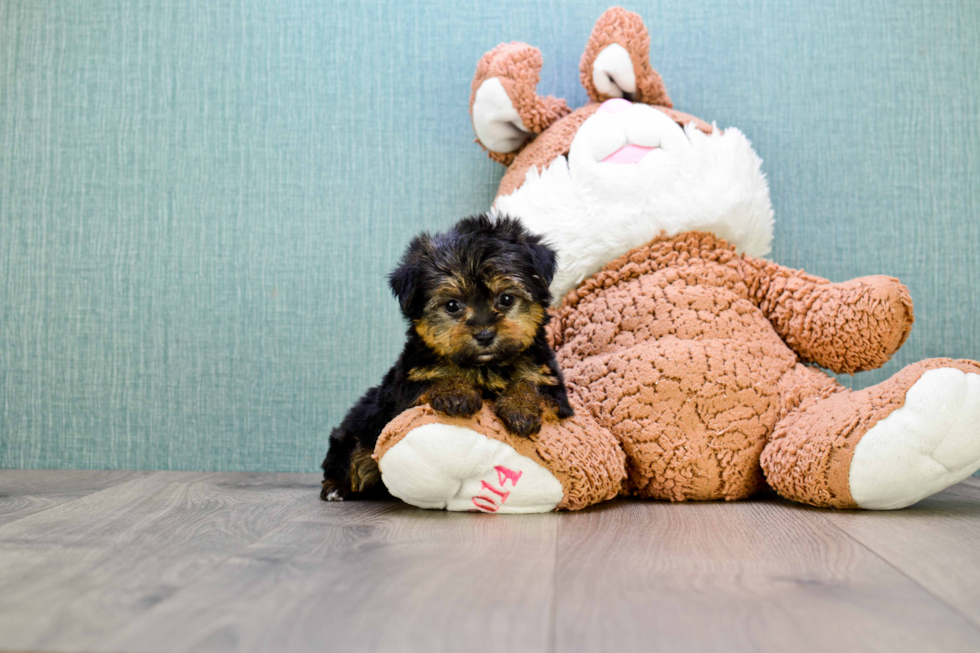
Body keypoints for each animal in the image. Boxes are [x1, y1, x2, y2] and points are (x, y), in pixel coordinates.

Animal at [320, 213, 576, 500]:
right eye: (452, 305)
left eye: (507, 299)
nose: (485, 335)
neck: (483, 367)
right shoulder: (407, 388)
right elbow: (433, 381)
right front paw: (456, 393)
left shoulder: (551, 383)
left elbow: (532, 385)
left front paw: (520, 407)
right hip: (355, 434)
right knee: (348, 460)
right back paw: (335, 487)